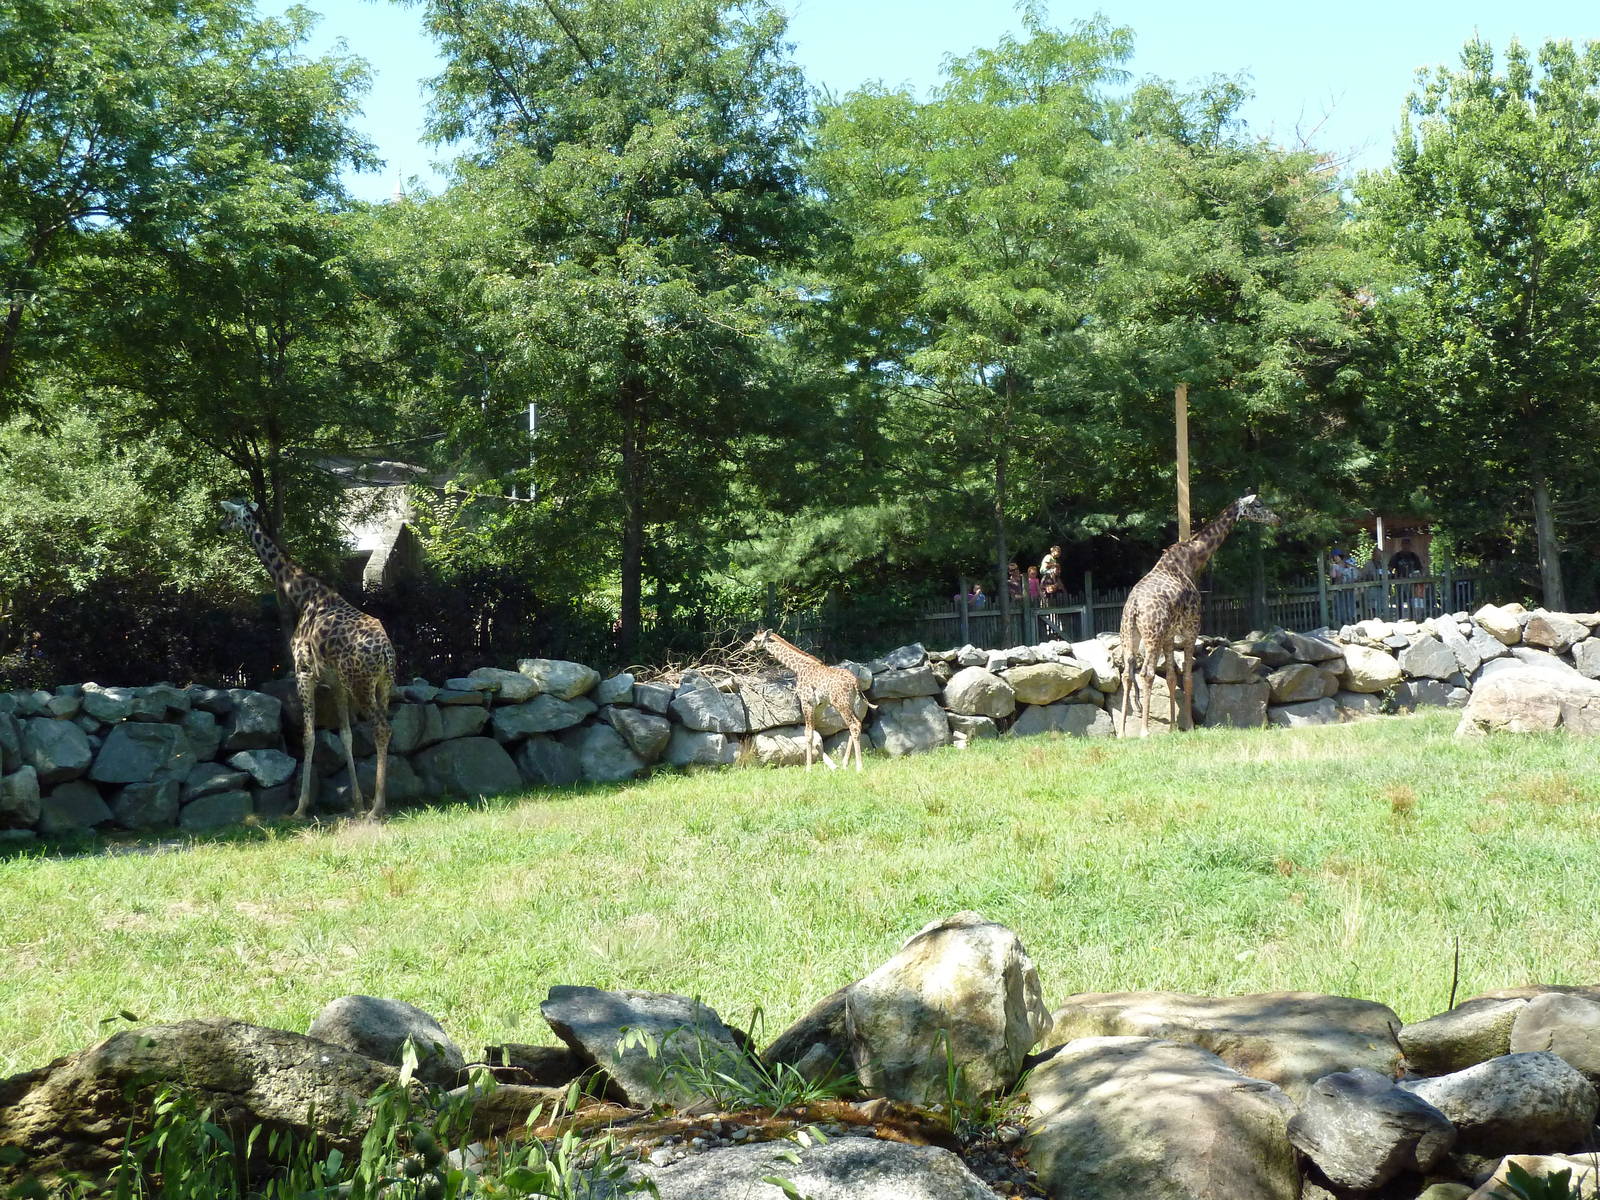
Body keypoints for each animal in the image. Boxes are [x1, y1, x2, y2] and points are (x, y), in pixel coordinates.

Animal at [219, 499, 397, 819]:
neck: (302, 596)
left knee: (381, 728)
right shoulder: (336, 683)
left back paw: (377, 808)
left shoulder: (303, 673)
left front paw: (300, 808)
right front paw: (355, 802)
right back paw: (376, 804)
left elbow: (308, 736)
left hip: (362, 685)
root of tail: (386, 652)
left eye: (228, 514)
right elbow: (346, 735)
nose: (219, 527)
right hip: (383, 685)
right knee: (384, 728)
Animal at [749, 630, 872, 771]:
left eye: (755, 640)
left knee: (854, 725)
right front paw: (829, 765)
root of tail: (855, 683)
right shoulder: (819, 705)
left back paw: (859, 767)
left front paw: (808, 768)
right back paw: (845, 764)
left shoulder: (806, 701)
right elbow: (814, 732)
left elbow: (808, 734)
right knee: (857, 723)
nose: (746, 646)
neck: (799, 668)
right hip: (850, 703)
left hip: (841, 703)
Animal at [1118, 494, 1282, 737]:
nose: (1278, 519)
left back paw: (1121, 732)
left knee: (1127, 674)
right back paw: (1144, 732)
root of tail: (1134, 606)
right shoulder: (1192, 627)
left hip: (1130, 636)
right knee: (1146, 673)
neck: (1192, 559)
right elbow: (1186, 676)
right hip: (1152, 636)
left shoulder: (1169, 635)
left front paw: (1173, 728)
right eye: (1258, 504)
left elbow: (1171, 676)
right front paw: (1190, 725)